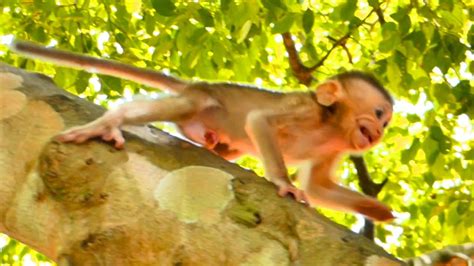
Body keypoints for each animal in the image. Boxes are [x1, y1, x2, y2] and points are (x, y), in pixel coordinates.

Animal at [12, 41, 394, 220]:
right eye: (377, 113)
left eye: (385, 121)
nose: (378, 131)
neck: (332, 124)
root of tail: (198, 84)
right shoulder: (306, 110)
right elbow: (259, 120)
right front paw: (283, 183)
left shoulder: (337, 147)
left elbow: (317, 186)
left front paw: (379, 211)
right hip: (199, 100)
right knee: (186, 106)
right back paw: (114, 119)